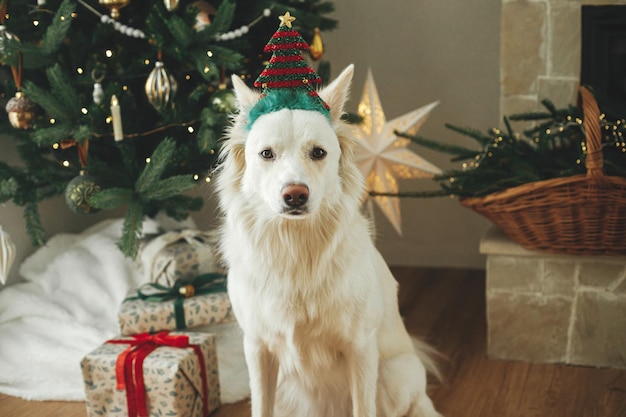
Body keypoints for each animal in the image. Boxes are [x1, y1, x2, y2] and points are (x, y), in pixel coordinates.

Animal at [217, 65, 442, 416]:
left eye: (318, 153)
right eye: (266, 154)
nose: (295, 195)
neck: (295, 249)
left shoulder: (360, 349)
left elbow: (363, 408)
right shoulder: (257, 348)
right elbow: (260, 406)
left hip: (394, 376)